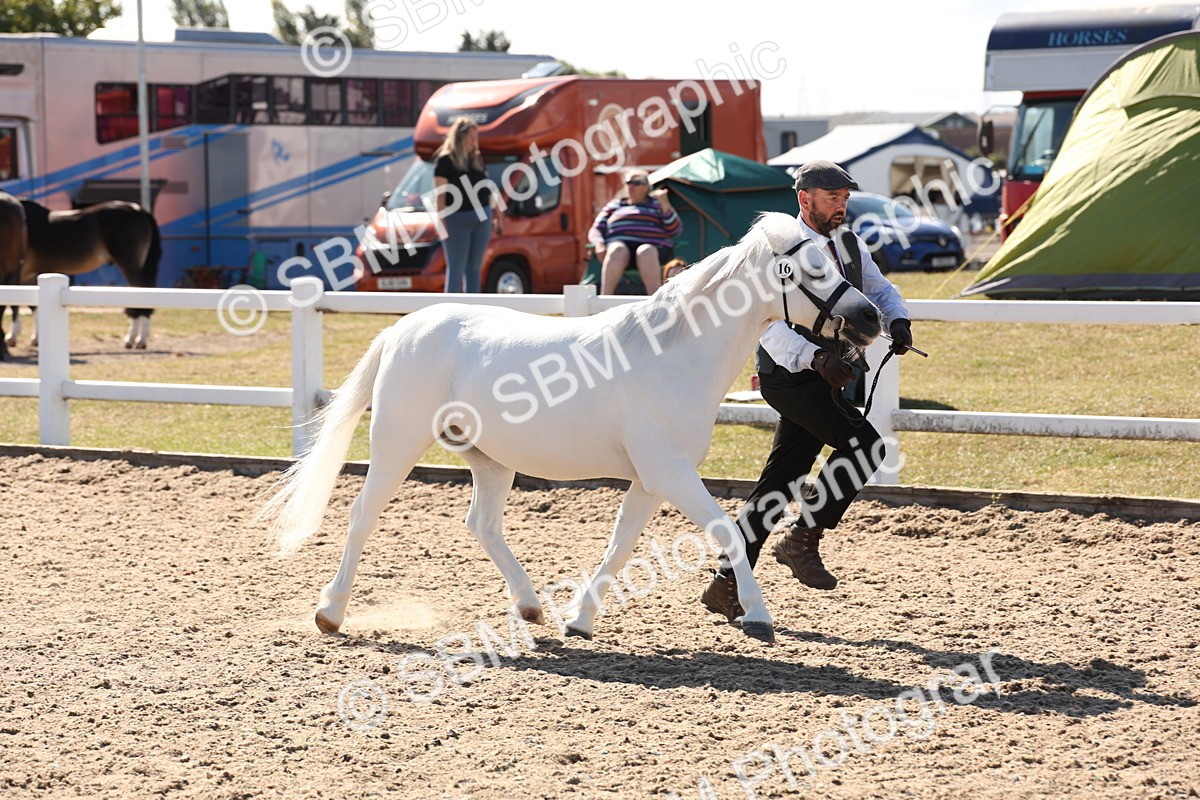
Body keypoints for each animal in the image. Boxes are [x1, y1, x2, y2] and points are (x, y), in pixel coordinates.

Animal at [0, 193, 161, 350]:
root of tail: (138, 209)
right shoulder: (29, 275)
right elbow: (33, 306)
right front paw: (36, 337)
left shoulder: (17, 271)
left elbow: (15, 304)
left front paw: (12, 336)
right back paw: (136, 337)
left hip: (130, 265)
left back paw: (137, 339)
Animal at [261, 212, 883, 644]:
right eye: (814, 268)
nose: (871, 318)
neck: (674, 353)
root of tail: (402, 329)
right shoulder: (670, 473)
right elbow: (726, 530)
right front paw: (757, 615)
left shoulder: (651, 480)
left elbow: (620, 545)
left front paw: (579, 620)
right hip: (397, 442)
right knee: (362, 515)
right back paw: (329, 612)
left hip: (490, 460)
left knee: (481, 524)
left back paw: (530, 605)